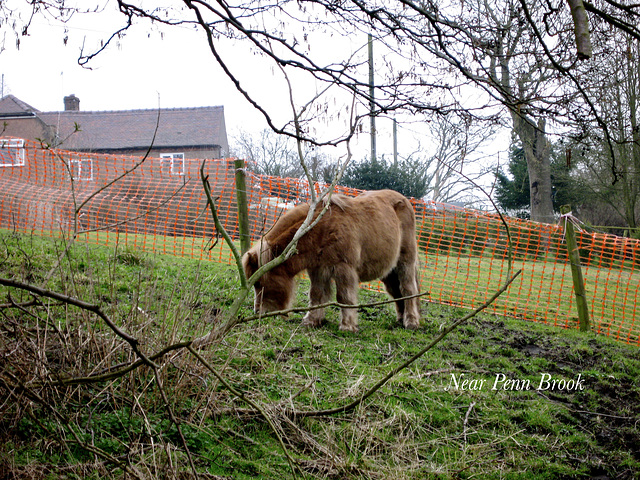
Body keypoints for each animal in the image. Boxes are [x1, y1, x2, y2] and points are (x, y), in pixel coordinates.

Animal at [241, 189, 420, 332]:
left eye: (259, 283)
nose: (258, 312)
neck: (323, 228)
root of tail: (404, 200)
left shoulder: (344, 268)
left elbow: (344, 297)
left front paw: (347, 326)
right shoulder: (318, 269)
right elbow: (316, 295)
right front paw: (312, 320)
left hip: (405, 263)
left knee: (408, 289)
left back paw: (411, 322)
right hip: (388, 270)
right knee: (396, 292)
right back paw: (400, 319)